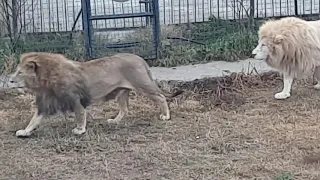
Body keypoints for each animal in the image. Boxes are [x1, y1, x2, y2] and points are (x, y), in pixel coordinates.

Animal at [9, 52, 182, 138]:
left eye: (20, 73)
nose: (9, 80)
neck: (44, 83)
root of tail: (140, 58)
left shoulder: (76, 100)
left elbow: (80, 115)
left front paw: (79, 130)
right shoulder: (45, 103)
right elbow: (34, 120)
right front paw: (24, 131)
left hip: (142, 84)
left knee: (161, 97)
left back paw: (166, 116)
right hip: (121, 92)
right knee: (125, 109)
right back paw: (114, 121)